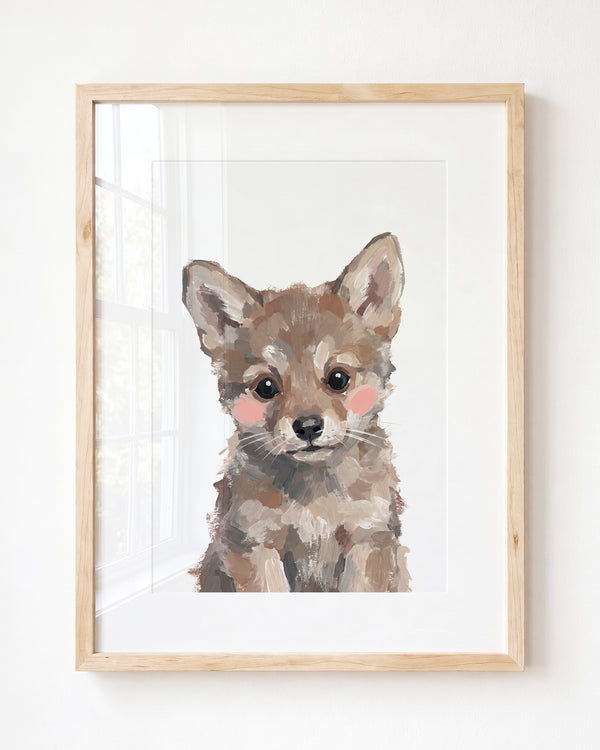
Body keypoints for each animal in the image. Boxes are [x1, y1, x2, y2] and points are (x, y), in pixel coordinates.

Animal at [182, 232, 410, 592]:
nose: (307, 426)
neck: (316, 502)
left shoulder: (368, 537)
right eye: (266, 387)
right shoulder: (253, 544)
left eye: (338, 379)